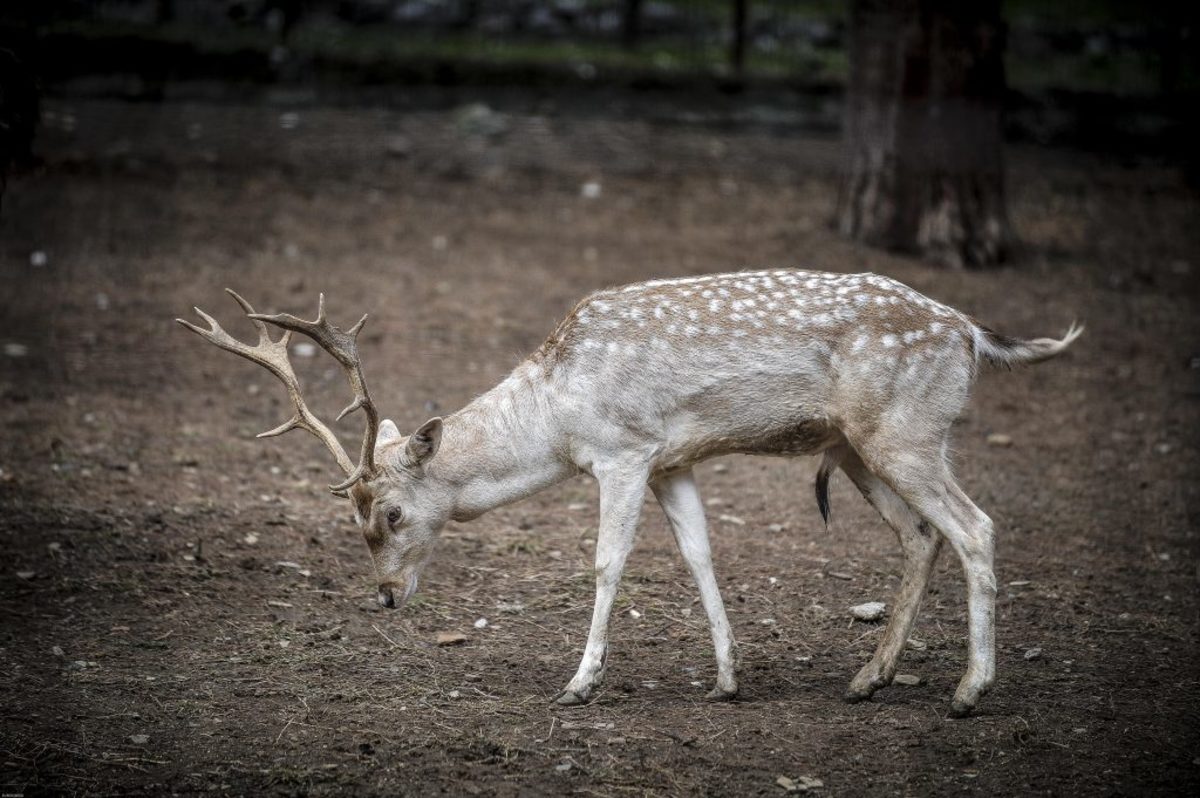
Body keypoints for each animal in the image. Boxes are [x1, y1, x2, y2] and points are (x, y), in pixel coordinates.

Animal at [175, 271, 1080, 710]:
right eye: (353, 516)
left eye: (392, 513)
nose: (389, 597)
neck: (556, 414)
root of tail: (973, 334)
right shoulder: (673, 459)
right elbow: (702, 557)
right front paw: (727, 680)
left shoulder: (621, 451)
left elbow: (607, 565)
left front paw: (580, 684)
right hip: (856, 447)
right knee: (920, 536)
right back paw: (869, 680)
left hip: (908, 430)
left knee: (976, 527)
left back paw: (968, 693)